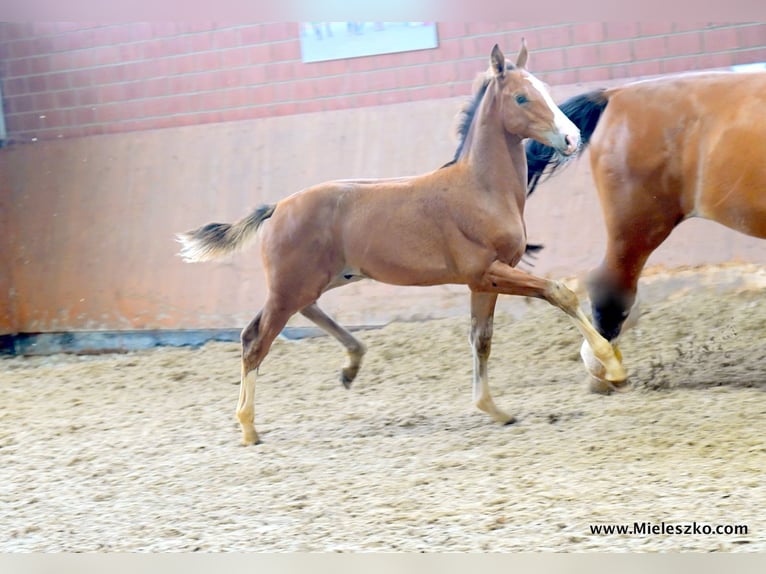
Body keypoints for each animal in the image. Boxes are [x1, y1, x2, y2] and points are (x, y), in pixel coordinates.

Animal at [177, 42, 628, 446]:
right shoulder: (488, 272)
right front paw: (611, 365)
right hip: (291, 286)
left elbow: (481, 340)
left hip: (320, 280)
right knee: (256, 339)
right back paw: (248, 428)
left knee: (290, 317)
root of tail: (277, 207)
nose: (571, 138)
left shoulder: (484, 282)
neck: (481, 189)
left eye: (546, 89)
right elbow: (558, 293)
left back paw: (351, 363)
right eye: (521, 96)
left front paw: (494, 409)